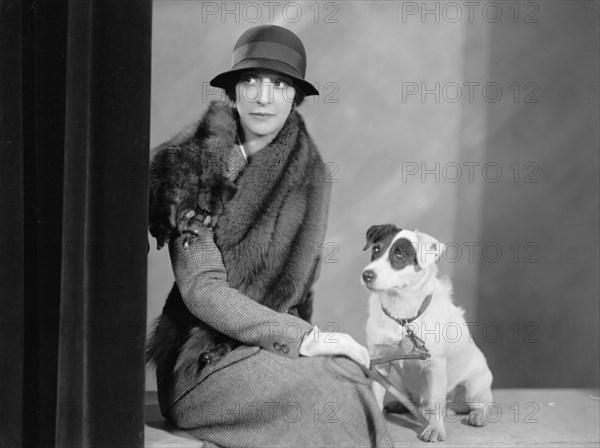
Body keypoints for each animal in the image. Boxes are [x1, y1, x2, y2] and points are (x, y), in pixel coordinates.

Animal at [360, 226, 492, 442]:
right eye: (376, 250)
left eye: (400, 255)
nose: (366, 275)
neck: (403, 314)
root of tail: (454, 405)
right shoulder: (380, 363)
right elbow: (376, 397)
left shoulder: (435, 364)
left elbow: (435, 402)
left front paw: (435, 429)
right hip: (401, 382)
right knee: (414, 400)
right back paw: (401, 404)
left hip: (474, 386)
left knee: (483, 403)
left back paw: (478, 415)